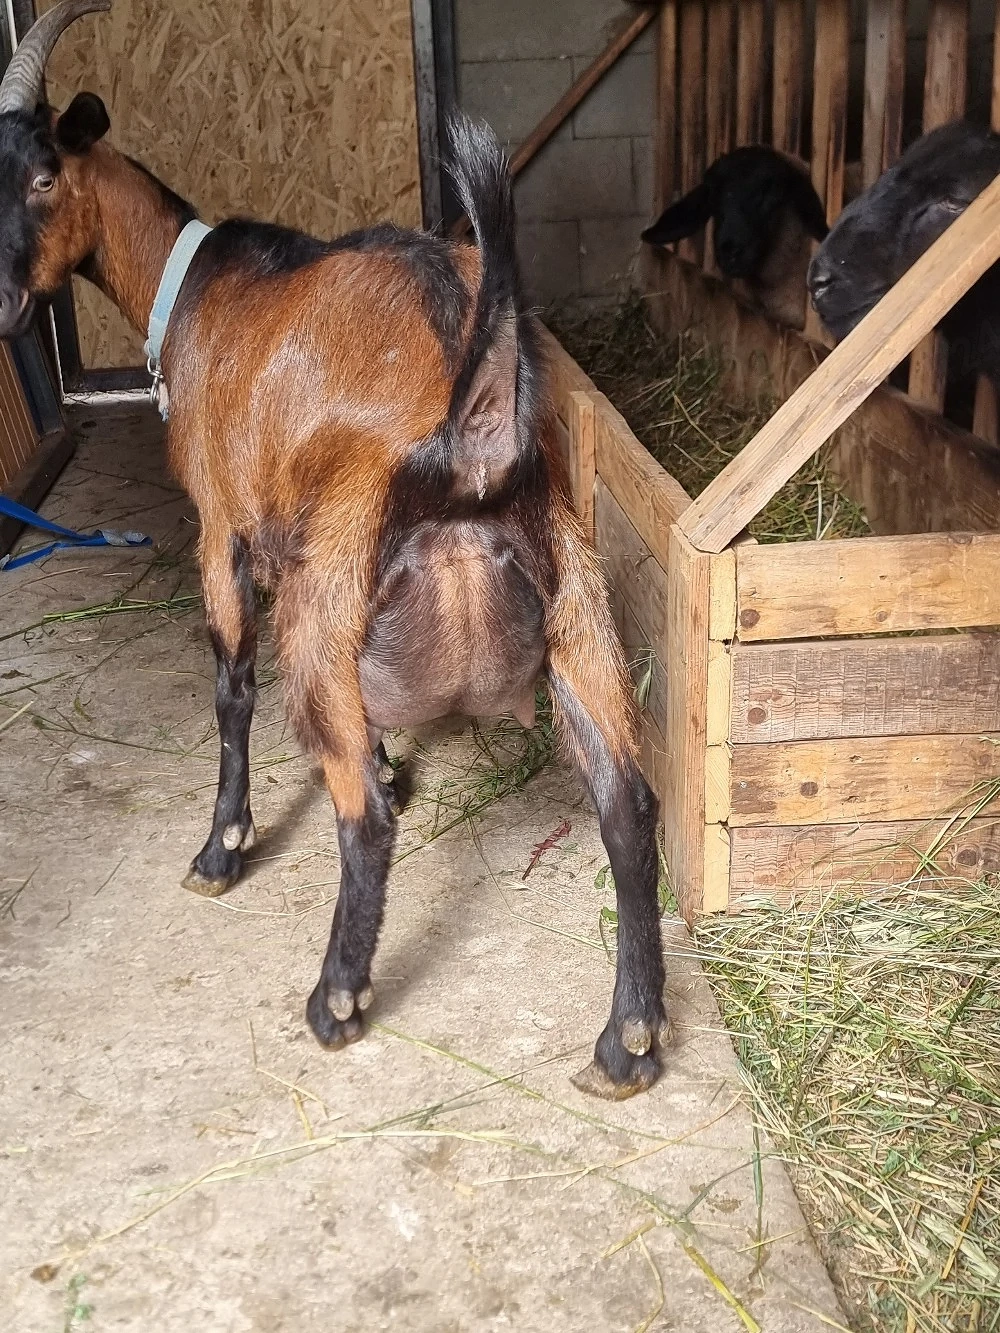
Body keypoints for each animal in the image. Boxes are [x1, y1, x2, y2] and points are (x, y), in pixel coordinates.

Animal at [0, 0, 668, 1099]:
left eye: (42, 177)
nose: (4, 304)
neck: (195, 282)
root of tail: (472, 441)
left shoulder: (225, 528)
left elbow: (229, 685)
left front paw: (224, 846)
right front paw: (394, 760)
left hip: (324, 604)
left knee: (363, 821)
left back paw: (336, 996)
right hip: (578, 607)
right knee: (627, 806)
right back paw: (628, 1040)